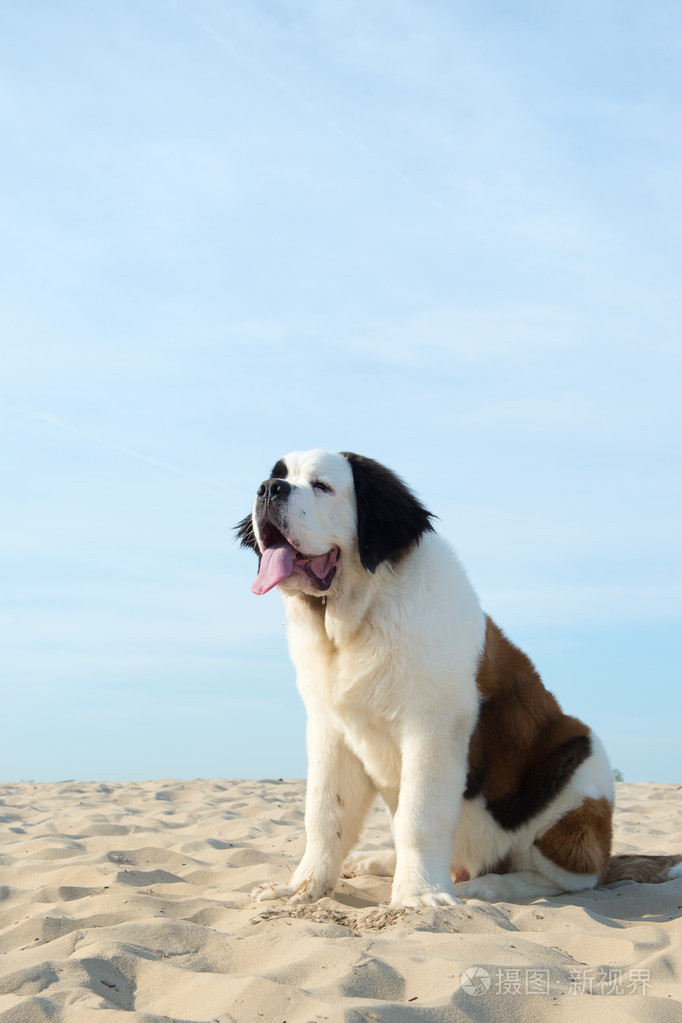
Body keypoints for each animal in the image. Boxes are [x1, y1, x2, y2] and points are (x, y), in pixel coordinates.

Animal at [237, 452, 678, 908]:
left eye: (322, 486)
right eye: (279, 477)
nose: (269, 489)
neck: (359, 617)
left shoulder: (431, 730)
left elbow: (420, 818)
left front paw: (418, 897)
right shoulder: (331, 729)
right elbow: (325, 815)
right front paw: (302, 890)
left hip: (579, 772)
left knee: (571, 878)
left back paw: (487, 886)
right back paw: (378, 860)